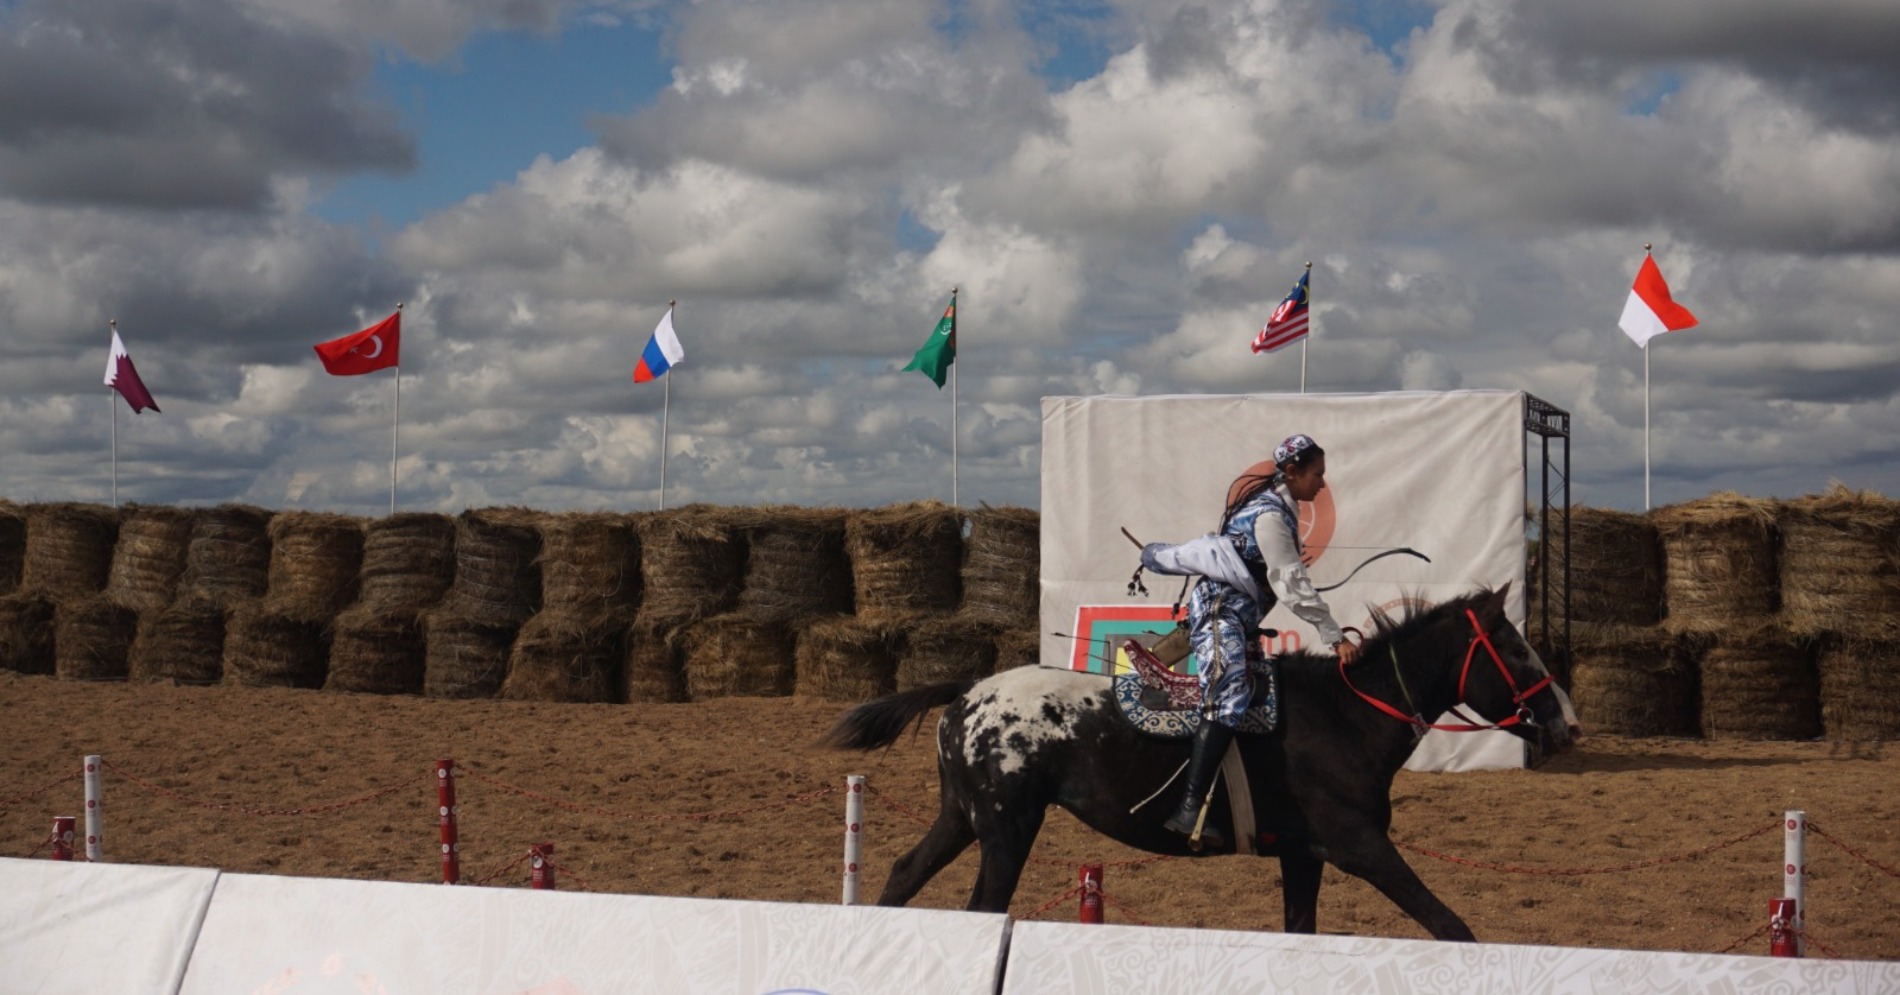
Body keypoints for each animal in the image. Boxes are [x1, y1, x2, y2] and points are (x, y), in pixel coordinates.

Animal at [824, 584, 1580, 941]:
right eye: (1517, 652)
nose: (1567, 722)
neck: (1346, 716)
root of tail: (968, 691)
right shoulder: (1360, 847)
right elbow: (1450, 924)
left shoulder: (1303, 855)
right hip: (1006, 829)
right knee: (982, 906)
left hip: (964, 818)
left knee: (902, 873)